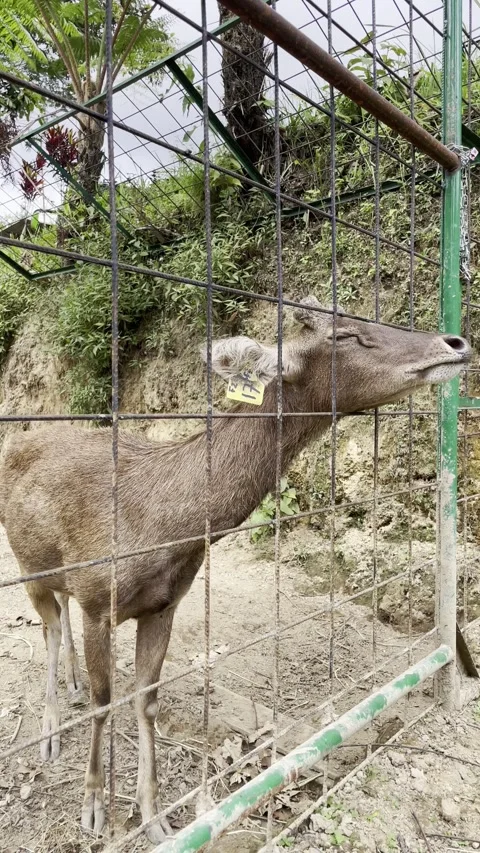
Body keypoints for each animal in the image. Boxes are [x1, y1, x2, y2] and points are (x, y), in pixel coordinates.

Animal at [0, 296, 471, 843]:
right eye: (343, 335)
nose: (456, 342)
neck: (161, 530)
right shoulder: (100, 600)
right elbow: (104, 700)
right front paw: (94, 807)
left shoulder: (166, 604)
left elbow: (145, 703)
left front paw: (155, 817)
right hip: (25, 563)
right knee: (51, 630)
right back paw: (50, 734)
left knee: (60, 619)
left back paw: (71, 686)